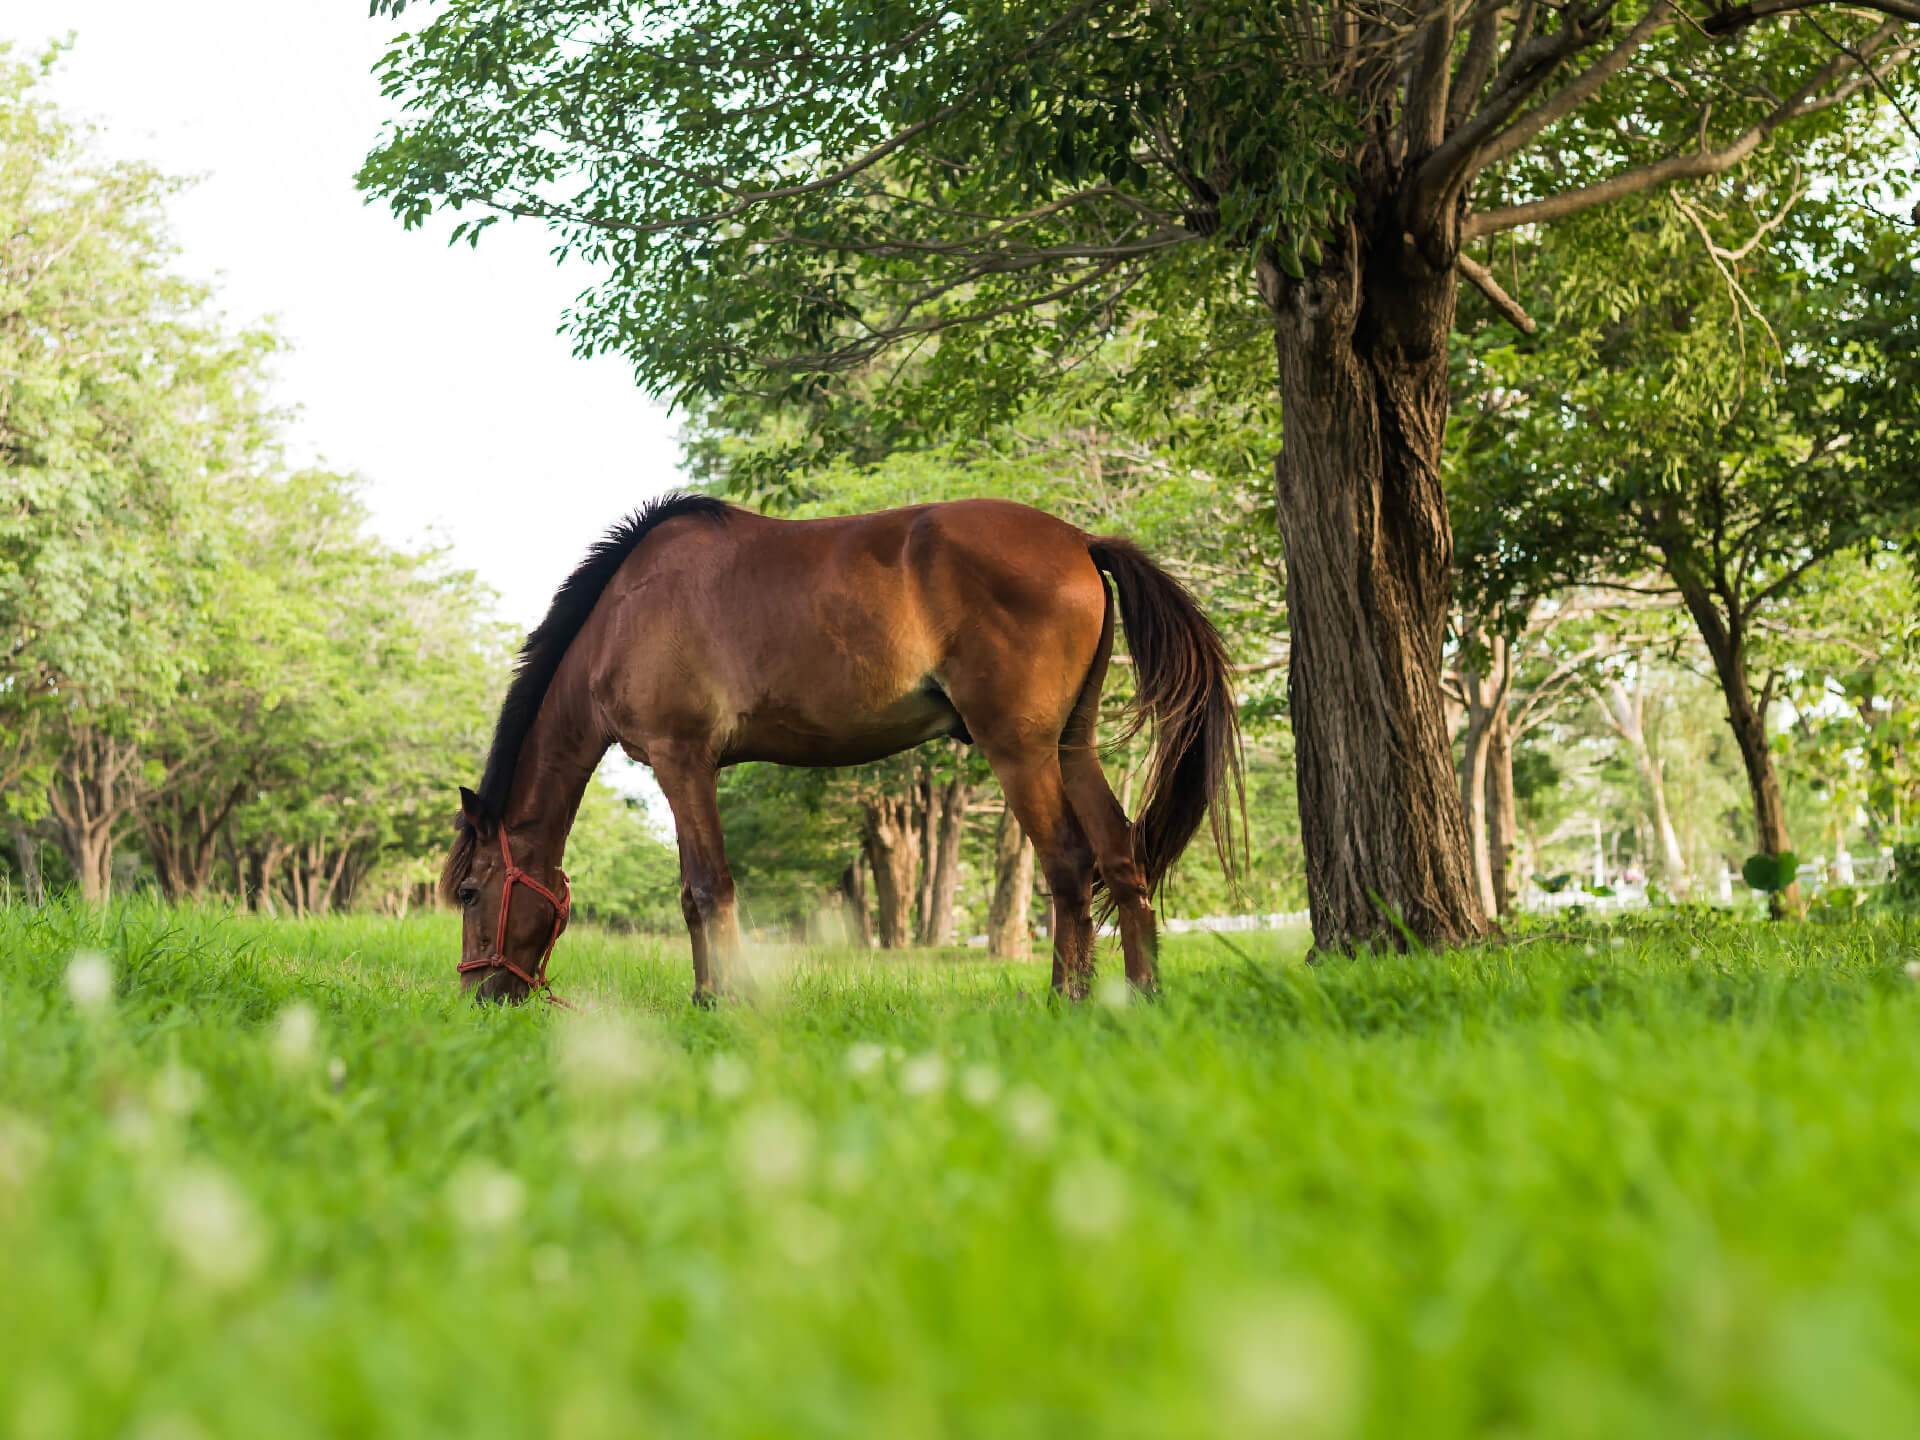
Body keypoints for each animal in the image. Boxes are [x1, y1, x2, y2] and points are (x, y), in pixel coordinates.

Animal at [442, 492, 1241, 1005]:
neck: (623, 615)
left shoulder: (683, 761)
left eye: (473, 892)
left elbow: (708, 885)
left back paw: (1066, 1001)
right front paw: (704, 995)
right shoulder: (686, 770)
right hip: (1071, 747)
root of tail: (1080, 541)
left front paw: (725, 1001)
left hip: (1019, 749)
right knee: (1121, 857)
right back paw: (1138, 996)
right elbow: (691, 894)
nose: (481, 997)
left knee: (1070, 864)